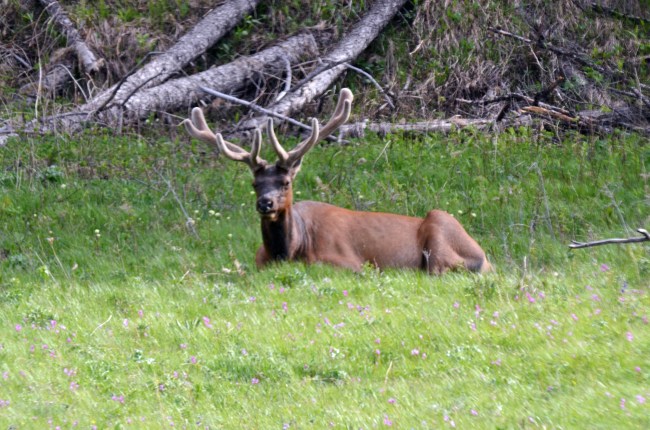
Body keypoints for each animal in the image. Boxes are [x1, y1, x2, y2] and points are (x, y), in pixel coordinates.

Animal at [182, 88, 491, 274]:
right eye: (254, 184)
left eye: (285, 182)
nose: (265, 203)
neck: (290, 250)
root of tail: (487, 259)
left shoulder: (349, 262)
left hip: (440, 233)